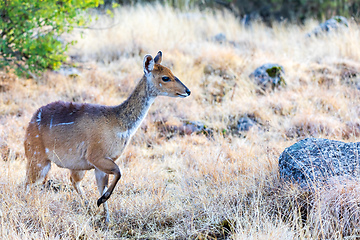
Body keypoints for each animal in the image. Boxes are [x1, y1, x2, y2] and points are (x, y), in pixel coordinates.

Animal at [23, 51, 190, 222]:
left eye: (172, 72)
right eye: (165, 77)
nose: (187, 91)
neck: (120, 124)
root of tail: (31, 121)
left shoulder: (99, 165)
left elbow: (102, 186)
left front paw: (107, 218)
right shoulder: (96, 156)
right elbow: (118, 172)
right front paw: (101, 203)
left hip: (74, 166)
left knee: (72, 181)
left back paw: (87, 207)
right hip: (38, 159)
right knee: (28, 183)